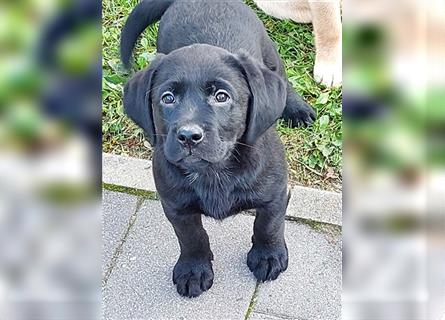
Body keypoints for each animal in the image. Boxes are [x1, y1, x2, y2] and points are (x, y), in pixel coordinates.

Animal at [121, 0, 314, 298]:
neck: (214, 171)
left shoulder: (275, 194)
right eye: (167, 98)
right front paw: (193, 270)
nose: (189, 136)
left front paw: (269, 256)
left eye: (221, 96)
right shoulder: (176, 205)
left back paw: (297, 108)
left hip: (270, 54)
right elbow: (191, 237)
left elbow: (268, 225)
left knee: (283, 81)